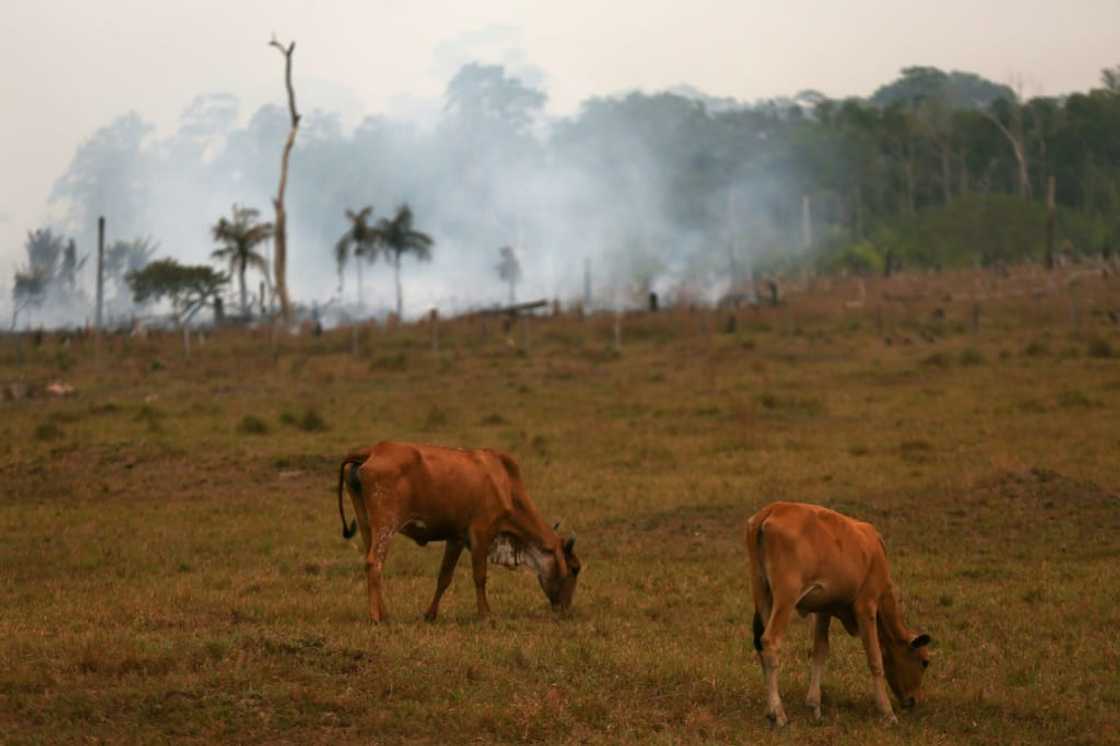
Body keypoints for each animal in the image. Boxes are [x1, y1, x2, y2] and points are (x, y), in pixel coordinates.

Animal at [336, 441, 582, 622]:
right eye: (575, 569)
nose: (566, 610)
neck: (506, 486)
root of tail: (373, 451)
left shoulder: (456, 538)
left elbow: (444, 577)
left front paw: (430, 615)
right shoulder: (481, 533)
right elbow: (480, 576)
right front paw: (485, 615)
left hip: (367, 524)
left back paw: (385, 613)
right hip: (387, 524)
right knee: (374, 563)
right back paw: (376, 617)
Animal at [748, 497, 931, 721]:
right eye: (924, 661)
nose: (915, 700)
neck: (873, 553)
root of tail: (772, 509)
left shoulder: (823, 609)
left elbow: (820, 650)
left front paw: (814, 704)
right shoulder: (866, 606)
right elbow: (875, 657)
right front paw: (887, 712)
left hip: (762, 593)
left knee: (761, 646)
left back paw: (770, 709)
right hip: (785, 596)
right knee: (770, 640)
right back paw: (779, 712)